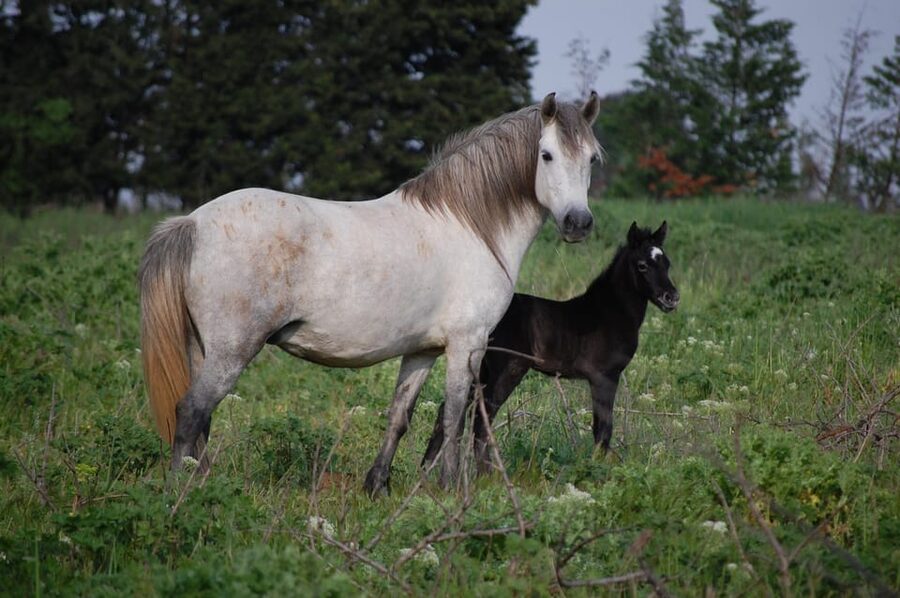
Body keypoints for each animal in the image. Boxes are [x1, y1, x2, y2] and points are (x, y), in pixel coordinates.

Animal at [138, 92, 603, 496]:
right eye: (547, 155)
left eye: (591, 158)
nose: (578, 223)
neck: (471, 226)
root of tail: (193, 223)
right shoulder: (466, 345)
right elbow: (453, 417)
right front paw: (451, 489)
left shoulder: (422, 351)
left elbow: (400, 416)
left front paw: (378, 486)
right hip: (231, 351)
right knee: (191, 413)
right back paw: (179, 493)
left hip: (203, 350)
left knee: (202, 421)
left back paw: (203, 481)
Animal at [422, 222, 679, 473]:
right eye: (642, 265)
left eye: (667, 263)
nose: (672, 298)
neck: (610, 312)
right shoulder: (604, 377)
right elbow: (603, 430)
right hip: (507, 371)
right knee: (481, 419)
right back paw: (487, 477)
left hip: (480, 370)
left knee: (448, 413)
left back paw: (425, 472)